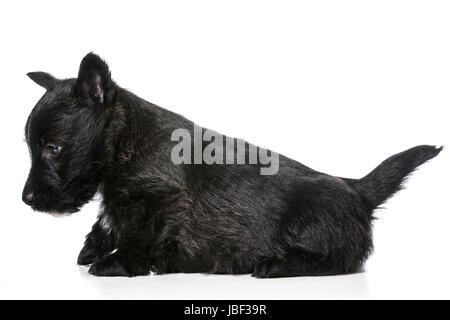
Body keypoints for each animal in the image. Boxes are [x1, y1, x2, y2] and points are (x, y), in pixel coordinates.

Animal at [22, 53, 442, 278]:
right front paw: (94, 248)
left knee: (342, 259)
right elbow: (107, 221)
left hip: (312, 220)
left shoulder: (159, 200)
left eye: (54, 148)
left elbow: (142, 234)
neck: (124, 140)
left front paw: (119, 262)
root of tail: (356, 188)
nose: (26, 199)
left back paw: (277, 264)